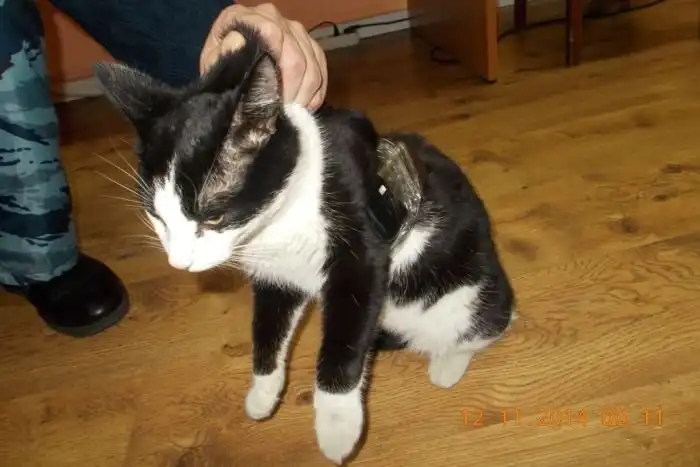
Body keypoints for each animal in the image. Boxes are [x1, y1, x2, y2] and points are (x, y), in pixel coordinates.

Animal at [94, 23, 515, 465]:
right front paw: (264, 391)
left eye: (213, 216)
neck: (287, 211)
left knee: (487, 324)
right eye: (157, 217)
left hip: (469, 293)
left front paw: (337, 425)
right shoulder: (277, 274)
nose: (180, 263)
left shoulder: (360, 243)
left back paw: (448, 364)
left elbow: (345, 332)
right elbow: (268, 326)